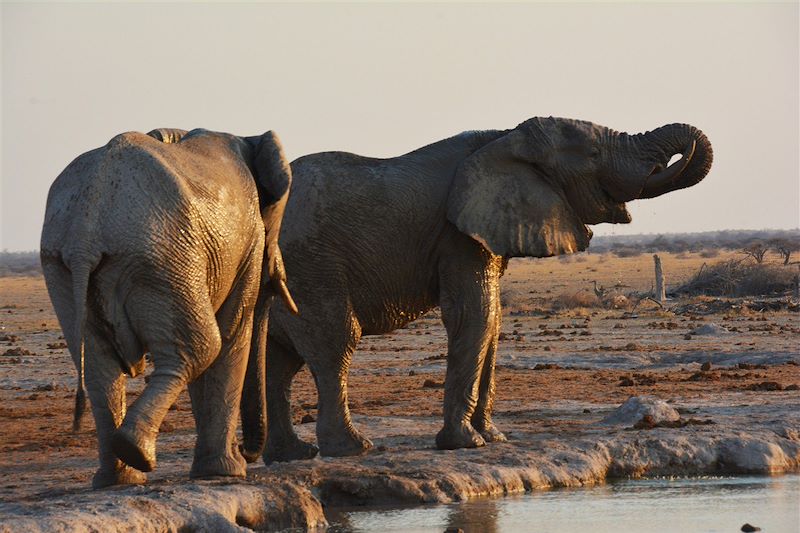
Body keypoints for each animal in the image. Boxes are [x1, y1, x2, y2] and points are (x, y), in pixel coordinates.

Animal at [41, 125, 296, 486]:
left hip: (61, 266)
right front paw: (225, 472)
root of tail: (85, 234)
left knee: (99, 367)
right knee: (200, 347)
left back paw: (119, 478)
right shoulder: (249, 241)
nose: (247, 451)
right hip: (162, 257)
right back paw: (135, 453)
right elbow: (231, 333)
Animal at [244, 117, 712, 462]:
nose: (671, 160)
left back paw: (292, 454)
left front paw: (495, 437)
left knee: (280, 360)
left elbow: (494, 322)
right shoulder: (457, 234)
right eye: (593, 154)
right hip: (308, 265)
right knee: (335, 341)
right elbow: (476, 316)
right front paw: (465, 444)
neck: (504, 137)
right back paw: (353, 449)